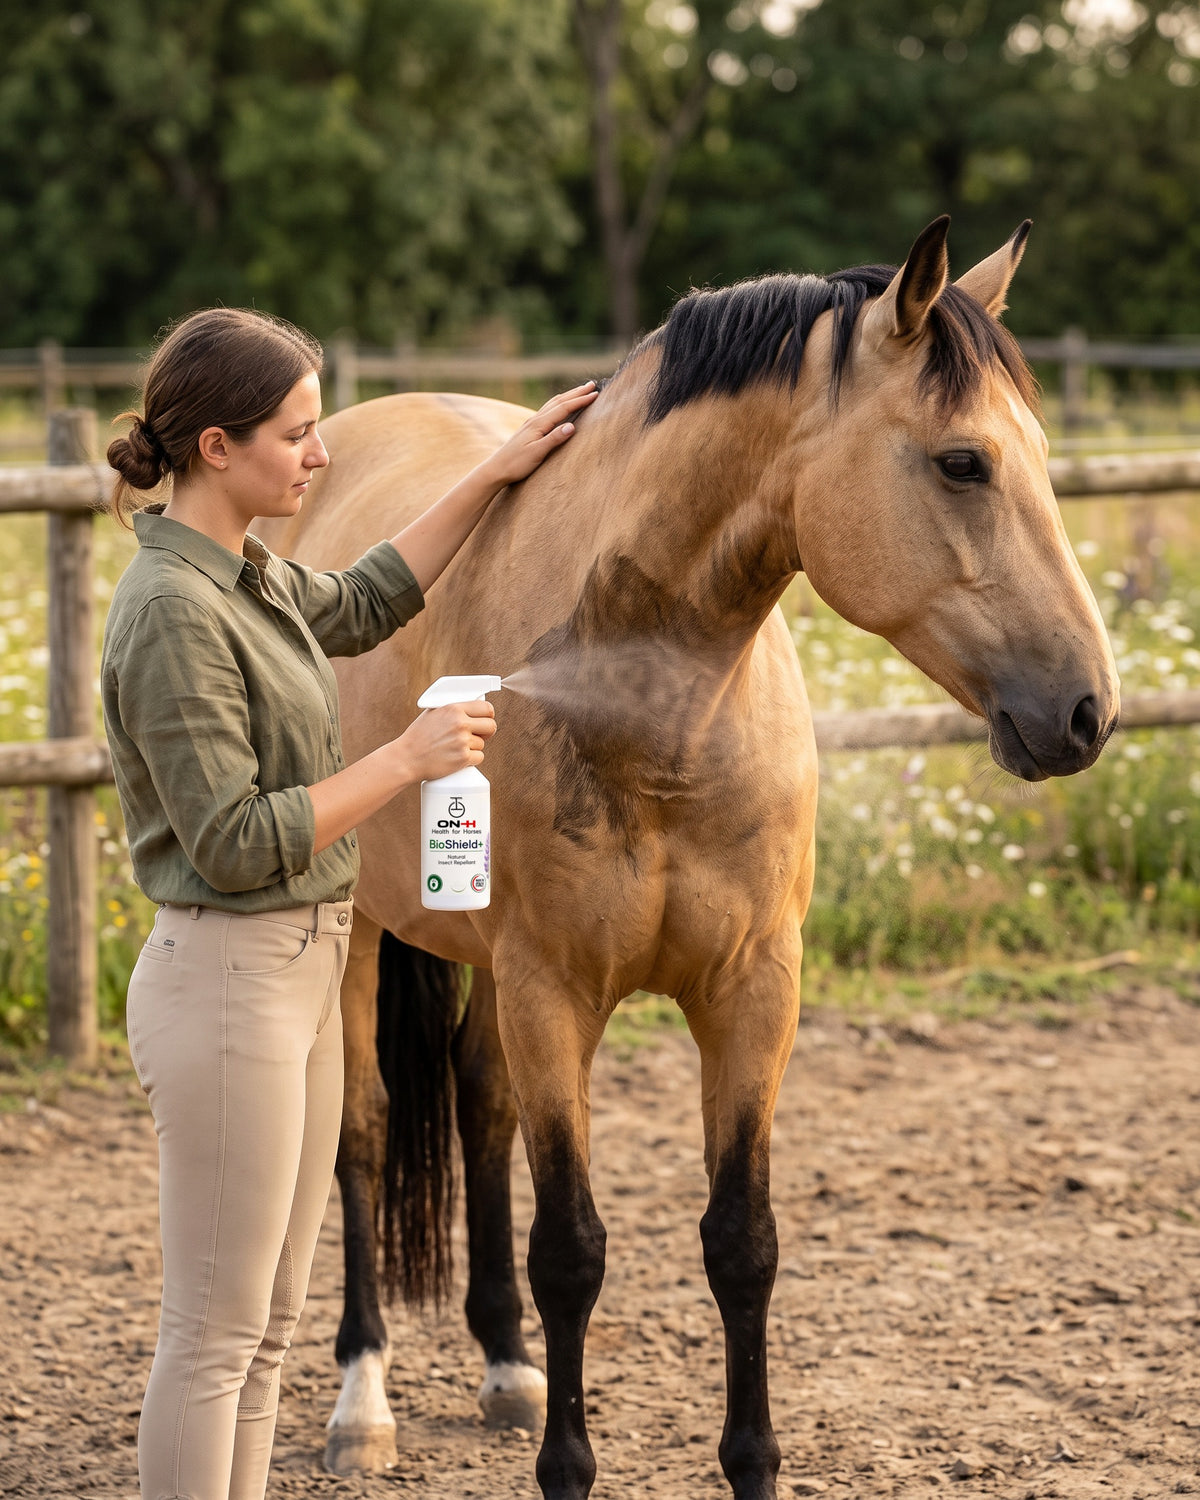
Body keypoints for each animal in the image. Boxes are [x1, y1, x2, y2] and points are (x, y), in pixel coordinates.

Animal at [256, 217, 1119, 1499]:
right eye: (964, 463)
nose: (1087, 711)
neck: (656, 703)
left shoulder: (753, 992)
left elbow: (741, 1244)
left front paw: (752, 1464)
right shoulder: (555, 991)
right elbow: (570, 1248)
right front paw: (568, 1466)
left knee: (478, 1109)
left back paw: (506, 1368)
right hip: (363, 936)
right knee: (361, 1136)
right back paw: (363, 1400)